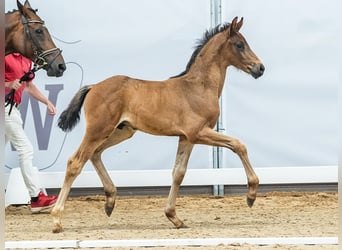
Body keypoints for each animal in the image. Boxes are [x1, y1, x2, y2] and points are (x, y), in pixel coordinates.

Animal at [52, 17, 264, 232]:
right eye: (239, 44)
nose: (260, 68)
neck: (199, 87)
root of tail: (94, 86)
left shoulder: (186, 138)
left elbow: (178, 173)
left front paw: (174, 217)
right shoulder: (198, 133)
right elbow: (239, 145)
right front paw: (251, 195)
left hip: (122, 131)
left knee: (95, 154)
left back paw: (110, 202)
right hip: (98, 130)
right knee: (75, 162)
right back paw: (57, 219)